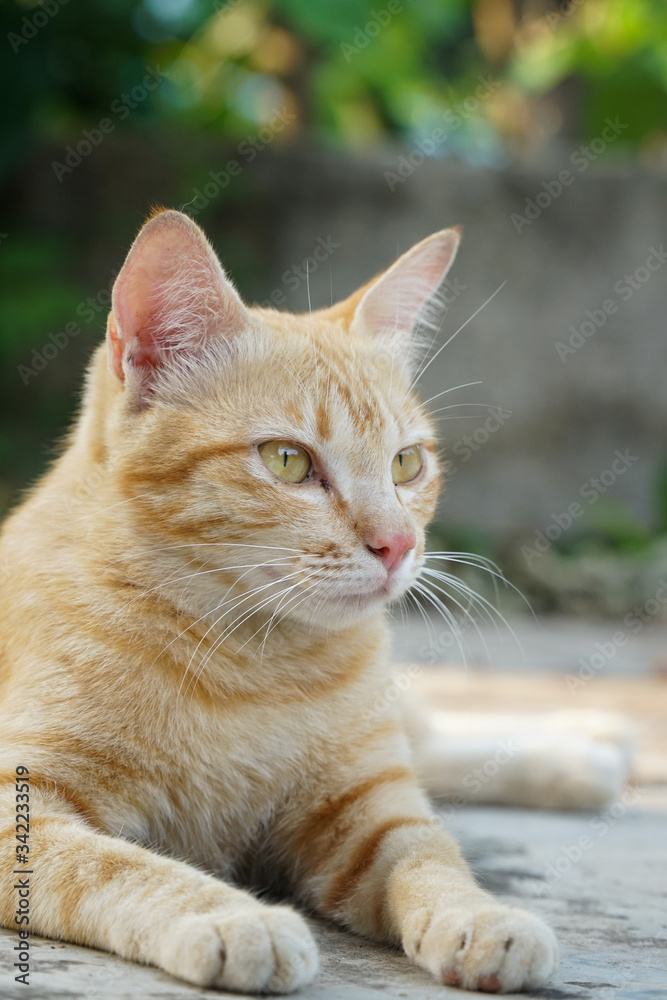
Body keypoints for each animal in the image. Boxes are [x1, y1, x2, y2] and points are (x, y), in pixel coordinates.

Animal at [0, 207, 628, 996]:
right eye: (288, 461)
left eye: (406, 463)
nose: (398, 544)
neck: (252, 664)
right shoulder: (23, 807)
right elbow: (116, 867)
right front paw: (233, 917)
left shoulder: (367, 808)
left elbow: (429, 853)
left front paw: (481, 915)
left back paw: (588, 743)